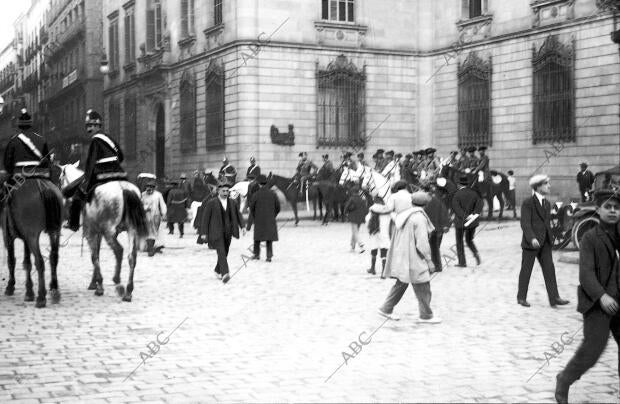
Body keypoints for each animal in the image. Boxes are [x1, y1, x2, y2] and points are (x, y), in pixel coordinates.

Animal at [1, 175, 64, 308]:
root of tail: (43, 186)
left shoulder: (8, 236)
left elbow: (11, 261)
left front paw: (10, 286)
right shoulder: (26, 239)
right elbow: (27, 263)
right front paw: (29, 292)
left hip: (33, 236)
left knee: (40, 261)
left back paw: (41, 297)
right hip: (54, 232)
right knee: (53, 258)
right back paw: (54, 290)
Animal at [60, 163, 148, 302]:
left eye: (60, 179)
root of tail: (123, 188)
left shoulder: (90, 232)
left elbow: (94, 256)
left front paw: (99, 285)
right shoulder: (100, 233)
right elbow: (97, 254)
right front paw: (94, 283)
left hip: (109, 232)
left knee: (119, 251)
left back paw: (118, 283)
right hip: (131, 230)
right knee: (132, 257)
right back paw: (128, 291)